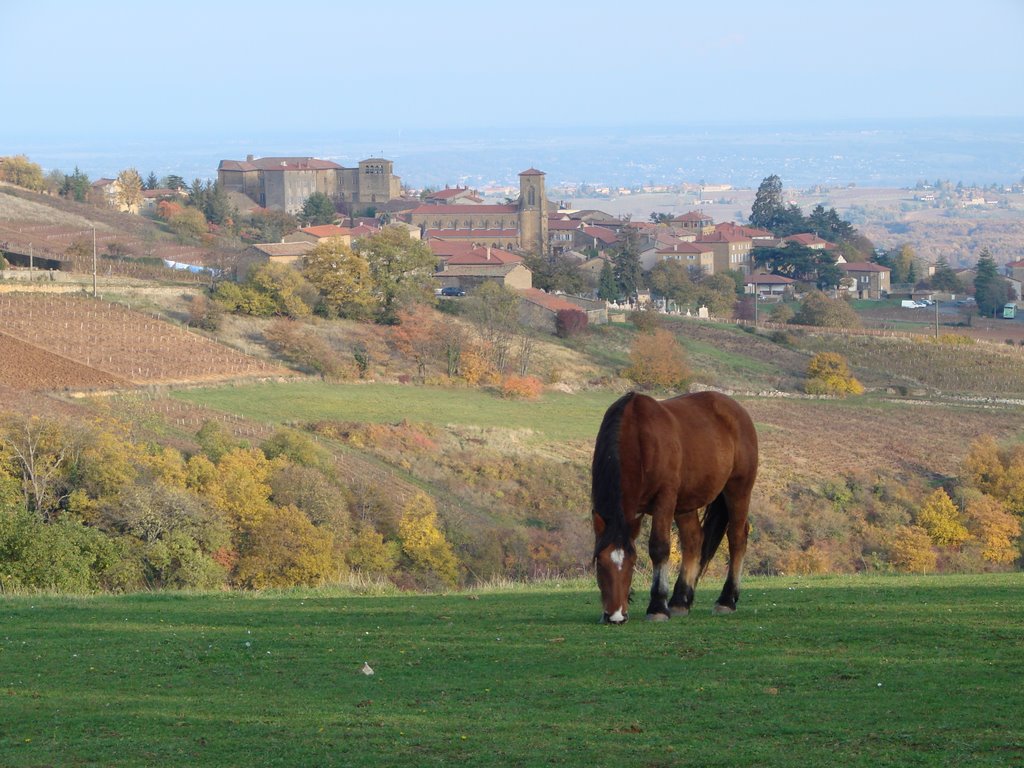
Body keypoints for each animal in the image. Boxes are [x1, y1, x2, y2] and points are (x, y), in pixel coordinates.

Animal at [589, 391, 757, 626]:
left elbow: (659, 548)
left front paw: (658, 606)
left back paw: (726, 600)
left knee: (736, 537)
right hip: (685, 505)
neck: (637, 436)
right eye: (600, 563)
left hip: (738, 490)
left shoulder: (665, 500)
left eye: (632, 563)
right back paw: (680, 601)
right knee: (694, 540)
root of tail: (736, 409)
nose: (615, 616)